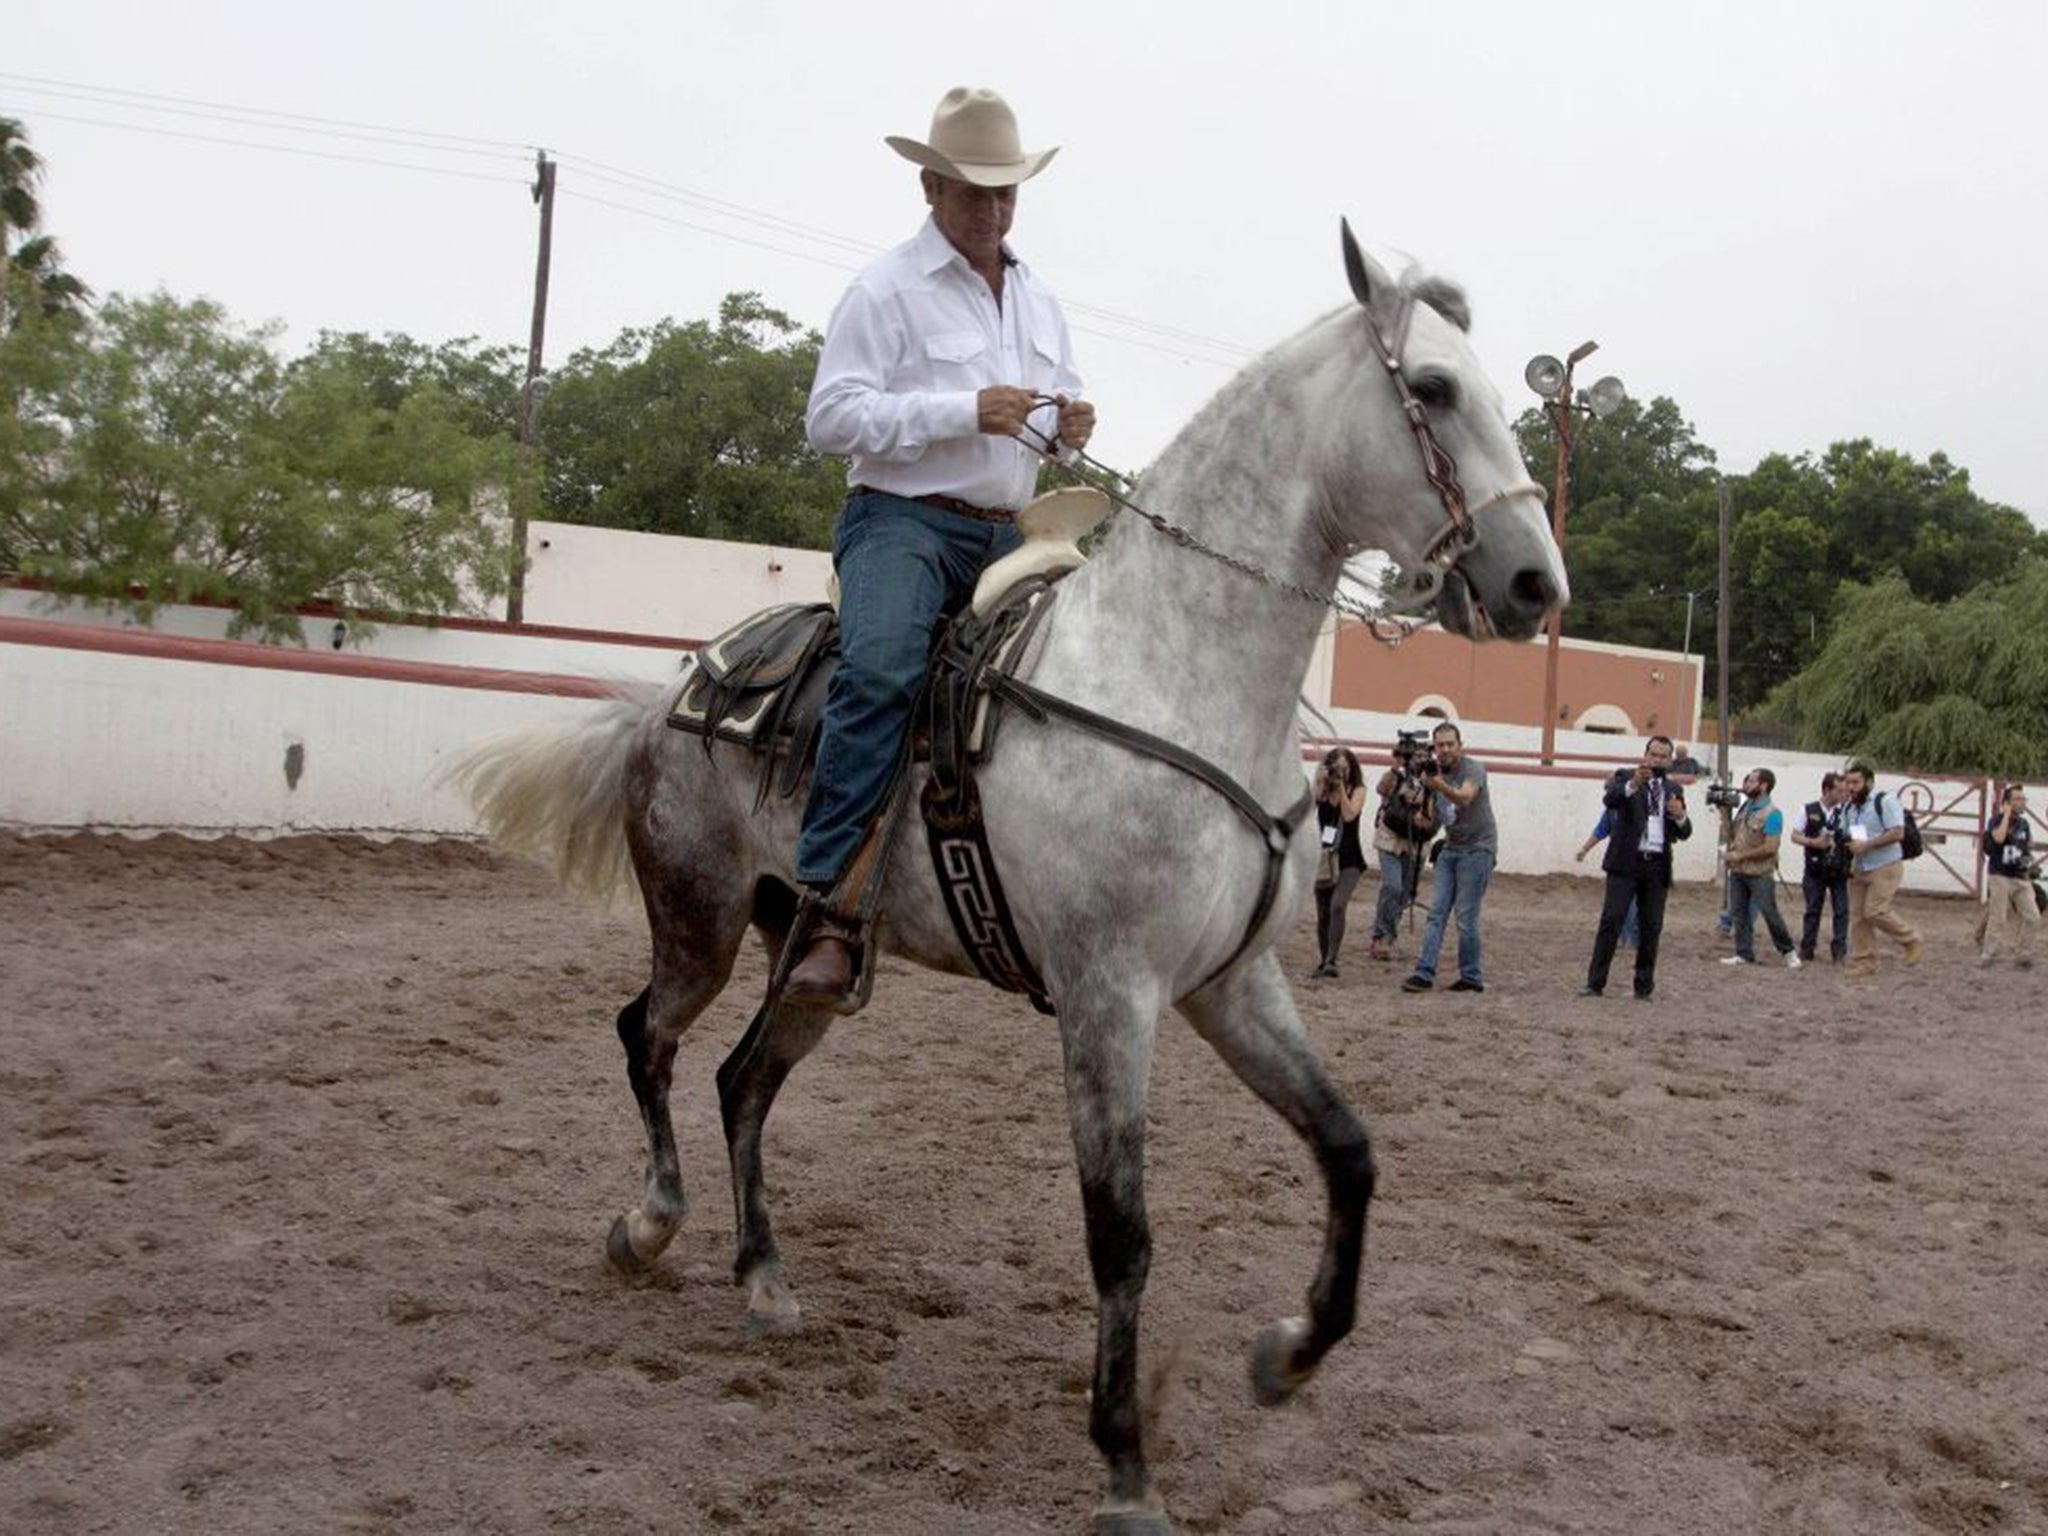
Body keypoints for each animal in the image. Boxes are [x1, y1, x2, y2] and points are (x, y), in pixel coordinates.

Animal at [460, 228, 1548, 1536]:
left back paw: (765, 1277)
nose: (1535, 585)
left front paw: (1284, 1355)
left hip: (808, 959)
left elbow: (1347, 1149)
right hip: (697, 921)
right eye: (1429, 390)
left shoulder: (1230, 985)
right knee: (649, 1038)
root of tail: (677, 688)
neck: (1166, 673)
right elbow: (1120, 1232)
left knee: (739, 1080)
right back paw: (648, 1223)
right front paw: (1125, 1468)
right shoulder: (1107, 996)